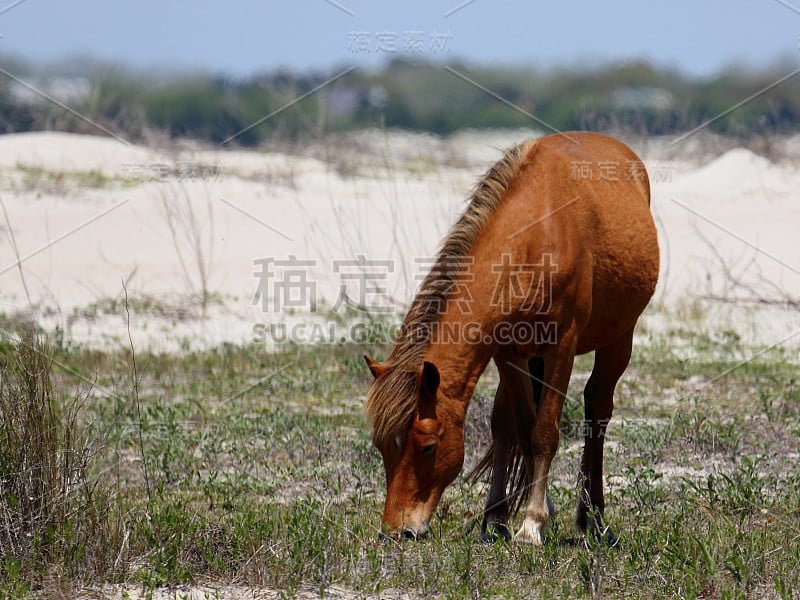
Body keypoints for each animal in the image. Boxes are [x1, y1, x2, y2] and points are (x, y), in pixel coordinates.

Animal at [366, 131, 660, 544]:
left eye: (428, 446)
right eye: (380, 446)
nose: (398, 531)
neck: (534, 237)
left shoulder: (562, 347)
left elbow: (545, 431)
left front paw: (532, 524)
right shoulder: (506, 351)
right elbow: (521, 427)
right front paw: (502, 519)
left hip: (619, 340)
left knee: (597, 411)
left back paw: (594, 518)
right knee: (506, 422)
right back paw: (504, 514)